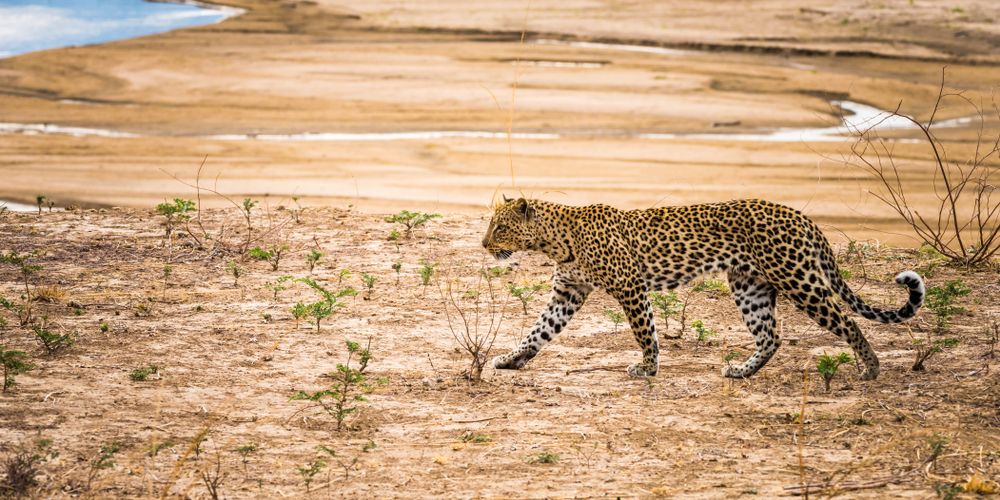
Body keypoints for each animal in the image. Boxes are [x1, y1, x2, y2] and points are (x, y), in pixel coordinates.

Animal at [482, 197, 924, 380]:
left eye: (500, 226)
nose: (484, 244)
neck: (556, 239)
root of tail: (801, 216)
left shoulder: (631, 287)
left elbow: (645, 332)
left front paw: (647, 368)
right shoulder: (568, 293)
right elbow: (538, 331)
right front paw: (511, 359)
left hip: (798, 280)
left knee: (848, 323)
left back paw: (870, 368)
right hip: (749, 286)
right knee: (771, 335)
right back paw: (741, 372)